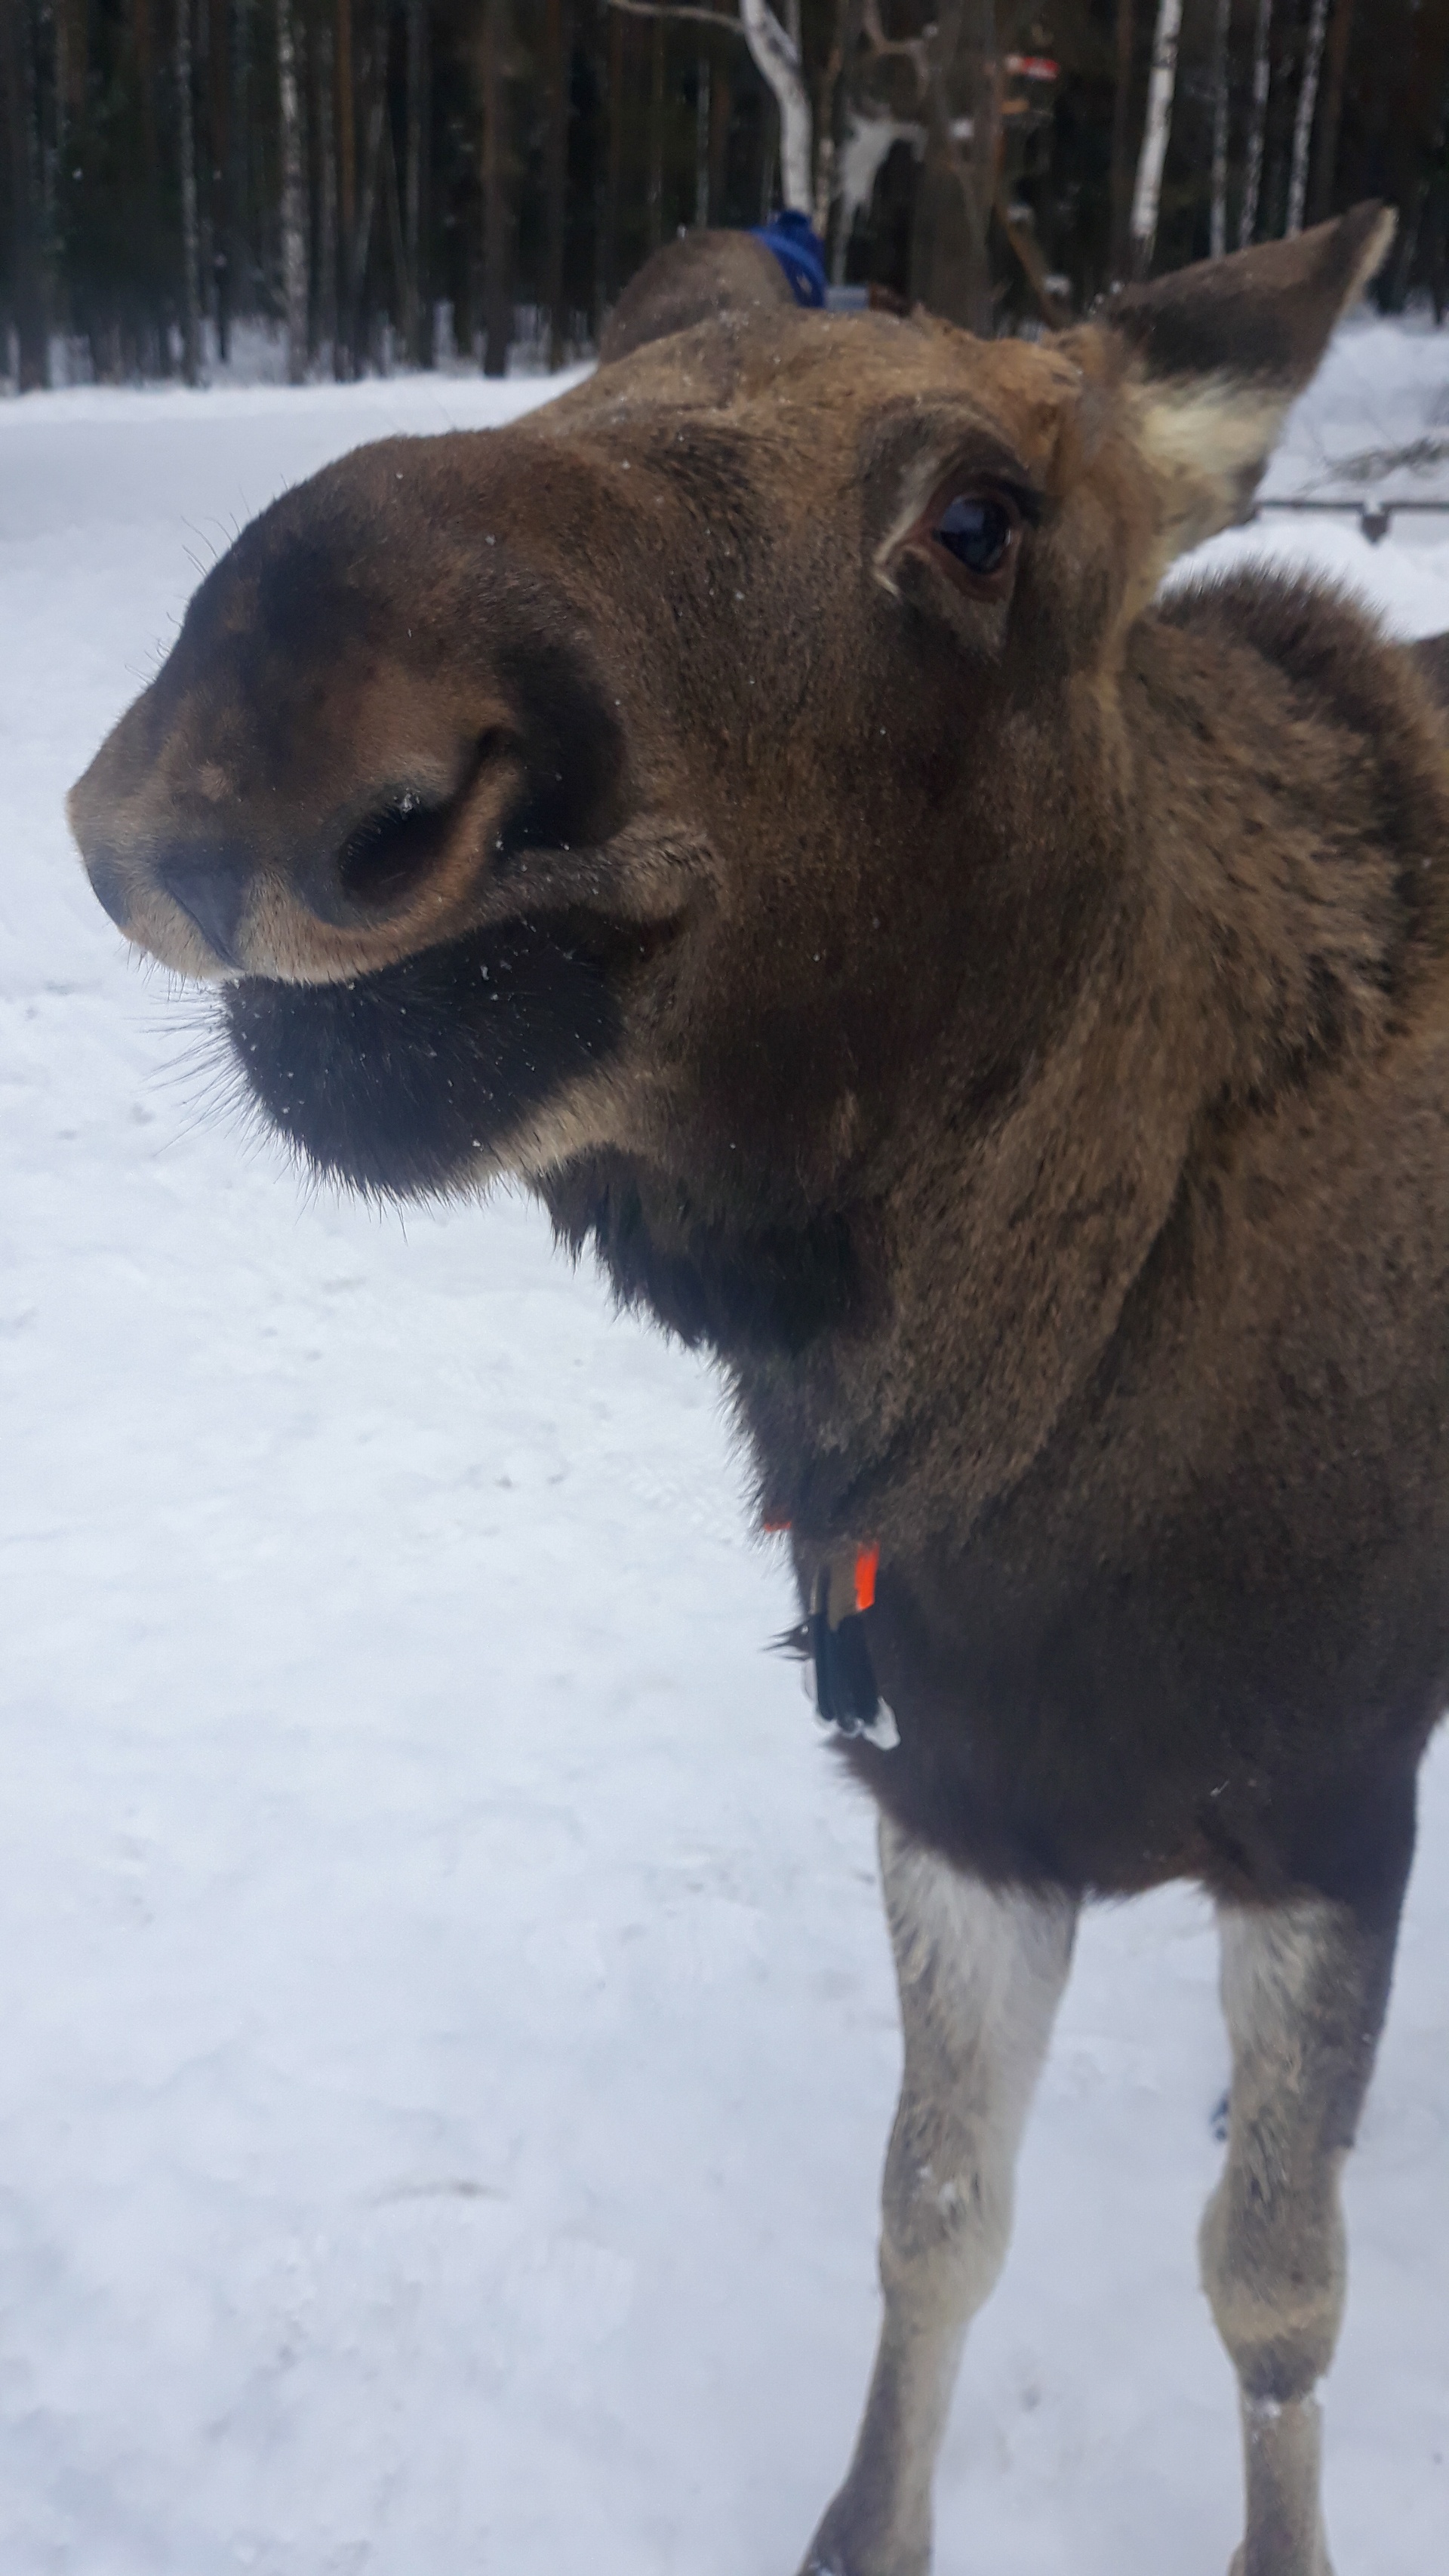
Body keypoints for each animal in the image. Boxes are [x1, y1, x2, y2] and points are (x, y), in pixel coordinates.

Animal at [68, 206, 1449, 2576]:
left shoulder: (1329, 1804)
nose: (250, 737)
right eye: (644, 303)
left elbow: (1276, 2290)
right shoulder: (950, 1797)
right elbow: (932, 2212)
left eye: (980, 515)